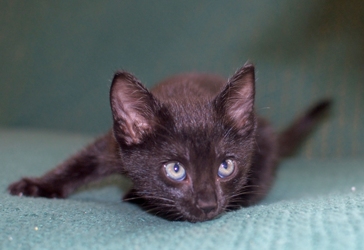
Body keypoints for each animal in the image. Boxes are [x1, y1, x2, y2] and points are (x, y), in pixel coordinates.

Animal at [7, 63, 330, 222]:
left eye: (225, 167)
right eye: (176, 170)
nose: (208, 204)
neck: (186, 93)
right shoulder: (113, 145)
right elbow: (81, 162)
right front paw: (37, 185)